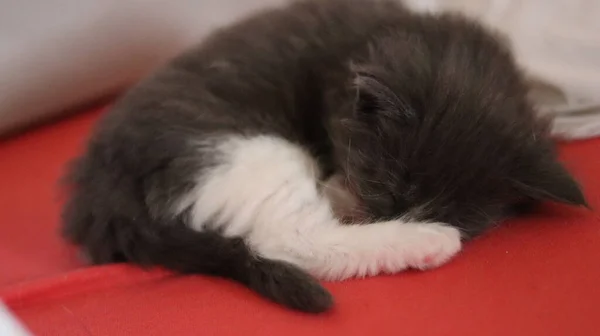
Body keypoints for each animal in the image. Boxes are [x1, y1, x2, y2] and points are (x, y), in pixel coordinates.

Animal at [61, 0, 584, 314]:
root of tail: (100, 201)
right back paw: (425, 242)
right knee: (288, 239)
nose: (375, 213)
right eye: (384, 186)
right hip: (239, 151)